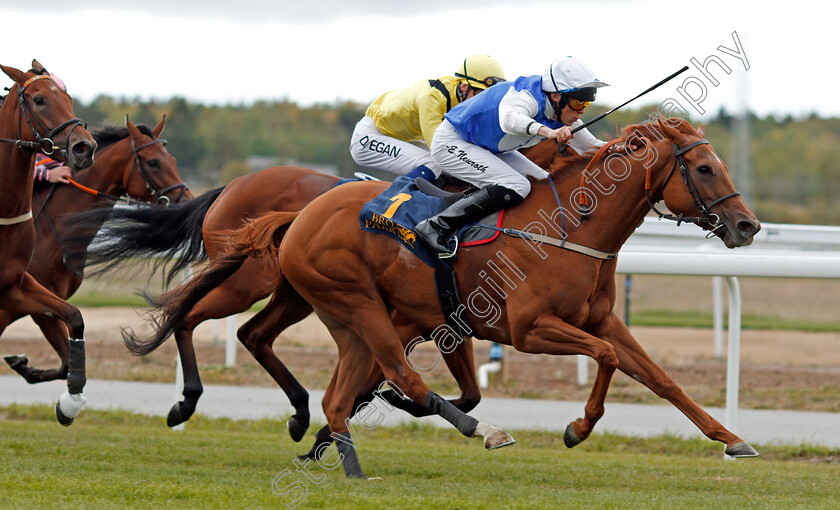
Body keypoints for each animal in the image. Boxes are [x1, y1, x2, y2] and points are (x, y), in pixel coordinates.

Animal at [0, 115, 191, 384]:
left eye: (172, 159)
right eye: (153, 162)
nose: (187, 201)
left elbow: (66, 363)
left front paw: (24, 365)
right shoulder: (30, 306)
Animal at [1, 60, 97, 426]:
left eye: (67, 97)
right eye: (39, 99)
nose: (85, 147)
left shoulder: (15, 285)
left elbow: (74, 316)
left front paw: (70, 401)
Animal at [226, 117, 764, 476]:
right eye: (704, 168)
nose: (748, 226)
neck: (571, 225)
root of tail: (302, 215)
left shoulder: (602, 321)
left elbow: (661, 379)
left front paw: (732, 439)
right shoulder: (529, 329)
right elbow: (606, 357)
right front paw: (578, 428)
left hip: (352, 320)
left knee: (341, 395)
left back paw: (343, 457)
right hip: (358, 303)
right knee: (397, 376)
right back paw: (483, 431)